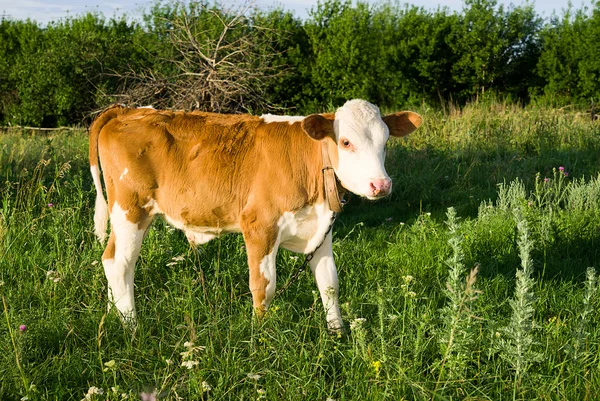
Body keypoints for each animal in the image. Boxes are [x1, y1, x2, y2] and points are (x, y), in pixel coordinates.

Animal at [90, 99, 422, 328]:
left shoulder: (320, 229)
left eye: (385, 142)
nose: (381, 184)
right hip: (130, 209)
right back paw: (131, 325)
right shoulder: (259, 226)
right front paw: (261, 337)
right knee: (119, 263)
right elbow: (264, 286)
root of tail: (126, 110)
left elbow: (329, 283)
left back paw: (114, 314)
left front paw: (337, 334)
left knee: (112, 261)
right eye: (346, 142)